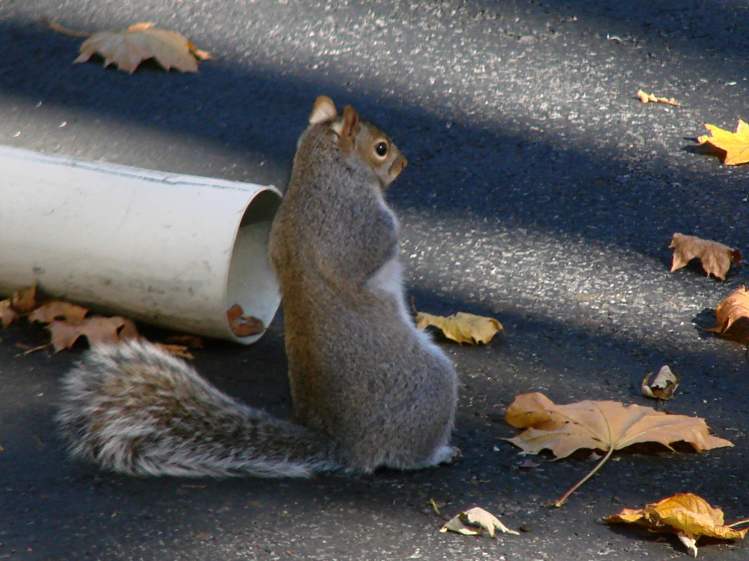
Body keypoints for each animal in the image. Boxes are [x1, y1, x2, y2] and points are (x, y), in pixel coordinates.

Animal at [57, 96, 459, 478]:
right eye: (380, 148)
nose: (404, 163)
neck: (322, 174)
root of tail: (347, 447)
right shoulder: (356, 224)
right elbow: (378, 248)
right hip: (431, 386)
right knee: (405, 455)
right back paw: (436, 454)